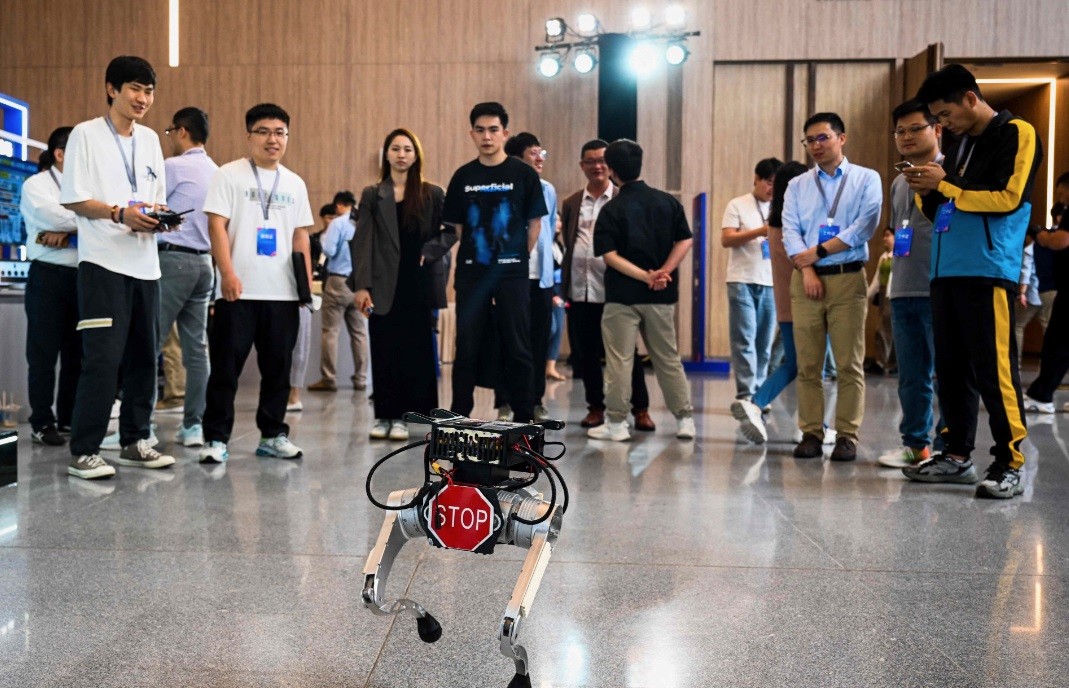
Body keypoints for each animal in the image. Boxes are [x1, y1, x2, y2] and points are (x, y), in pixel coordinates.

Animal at [361, 408, 568, 688]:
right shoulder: (404, 506)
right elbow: (373, 592)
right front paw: (425, 620)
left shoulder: (545, 527)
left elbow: (509, 626)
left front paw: (520, 672)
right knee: (372, 595)